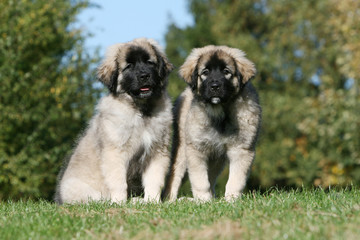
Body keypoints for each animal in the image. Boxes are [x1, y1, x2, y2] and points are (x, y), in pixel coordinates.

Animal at [55, 38, 174, 203]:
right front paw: (119, 201)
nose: (144, 75)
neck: (140, 111)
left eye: (150, 63)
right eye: (129, 66)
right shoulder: (115, 153)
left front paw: (152, 201)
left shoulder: (156, 152)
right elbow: (119, 181)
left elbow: (154, 180)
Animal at [164, 44, 262, 201]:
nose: (215, 86)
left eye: (226, 72)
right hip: (182, 149)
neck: (219, 113)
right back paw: (170, 200)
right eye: (205, 72)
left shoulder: (241, 150)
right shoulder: (196, 149)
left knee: (212, 176)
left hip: (216, 159)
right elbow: (200, 180)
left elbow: (235, 180)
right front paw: (203, 200)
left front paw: (231, 200)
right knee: (175, 175)